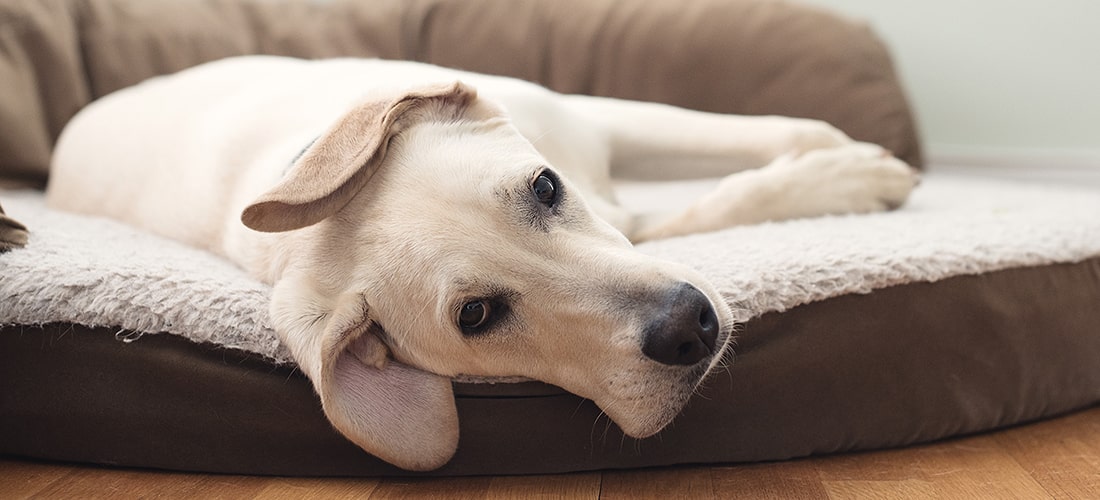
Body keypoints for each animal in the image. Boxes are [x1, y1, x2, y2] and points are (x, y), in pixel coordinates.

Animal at [45, 56, 919, 472]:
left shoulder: (596, 128)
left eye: (545, 187)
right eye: (477, 316)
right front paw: (845, 180)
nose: (690, 329)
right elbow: (713, 204)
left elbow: (757, 135)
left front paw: (847, 161)